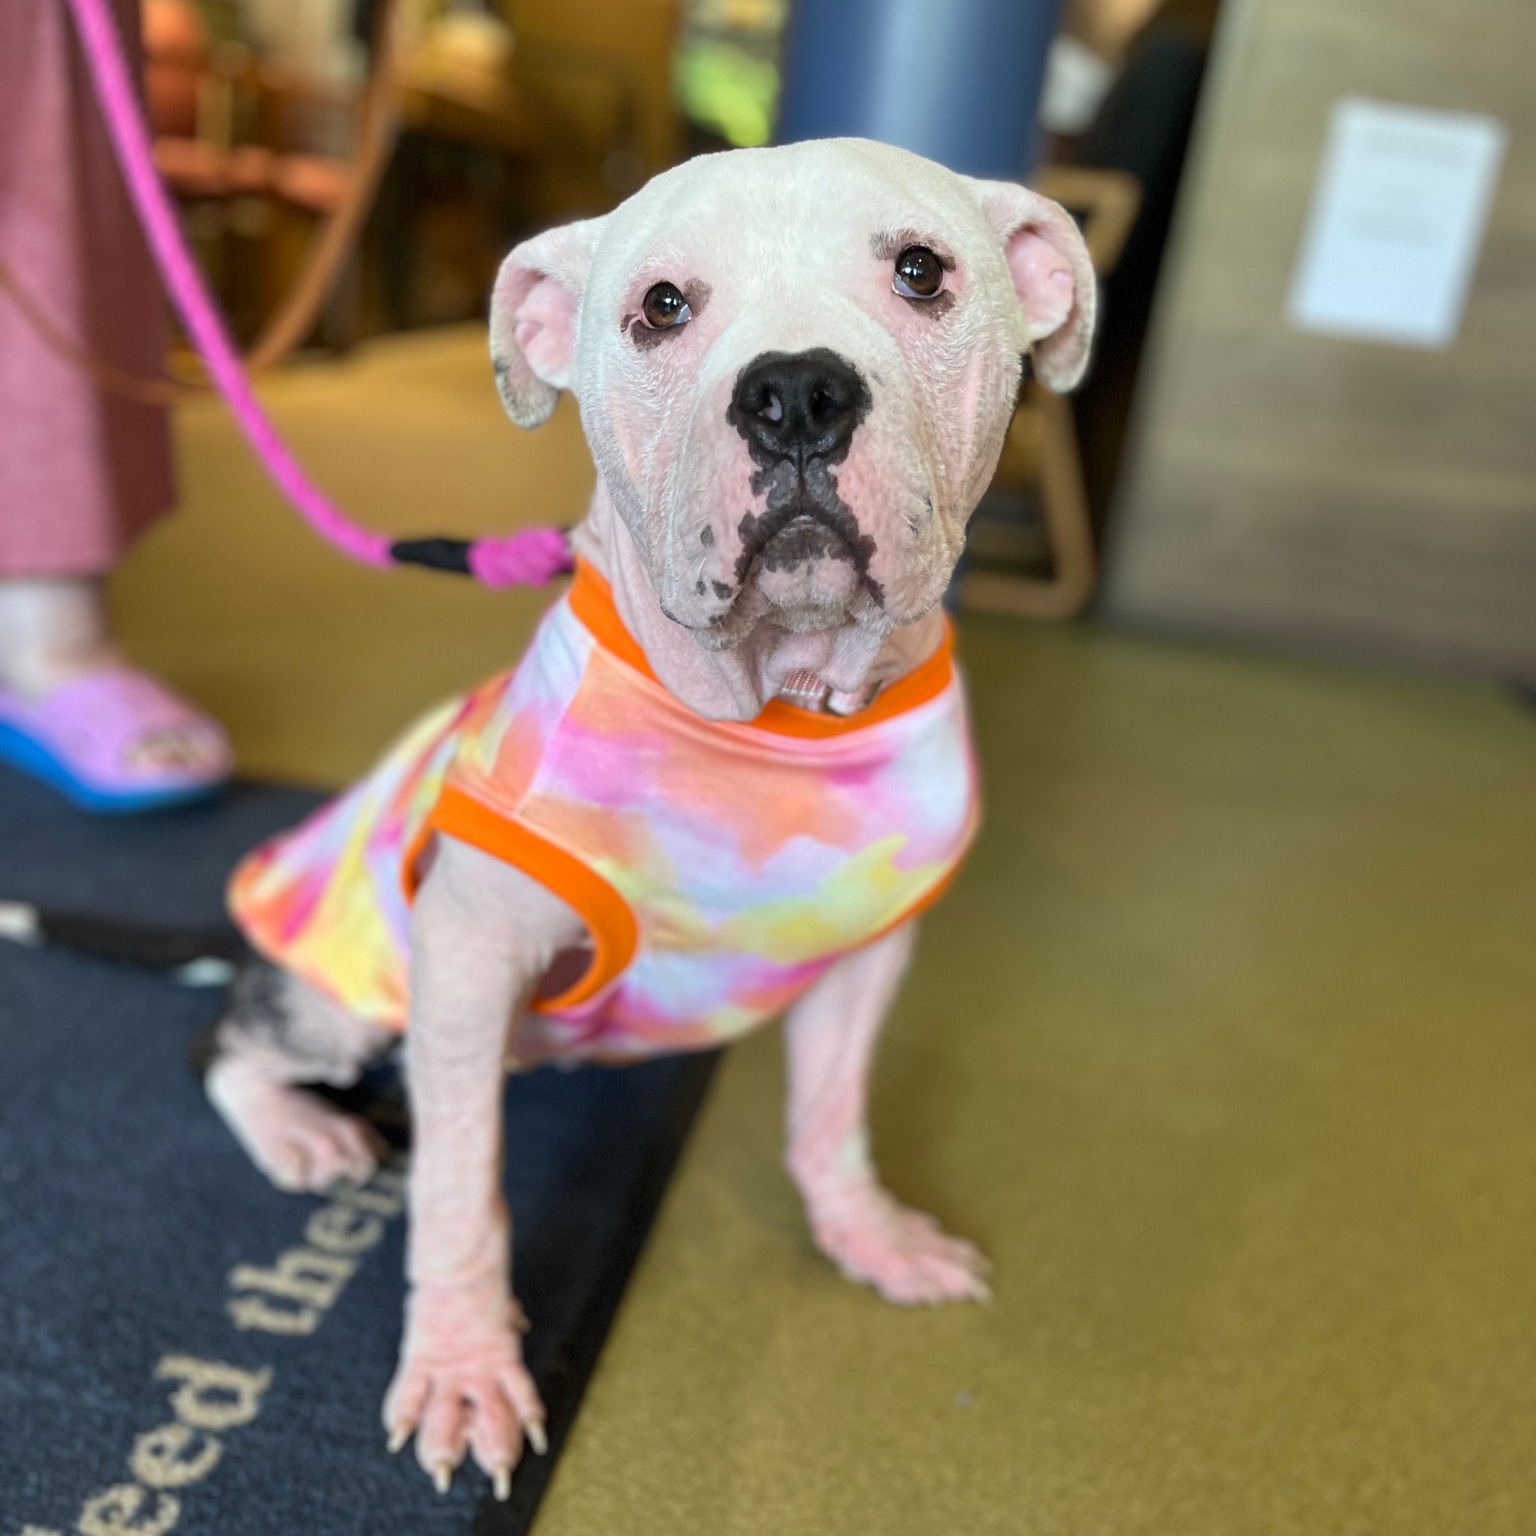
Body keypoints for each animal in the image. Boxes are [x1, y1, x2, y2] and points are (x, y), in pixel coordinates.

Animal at [201, 138, 1093, 1492]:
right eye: (663, 306)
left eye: (922, 271)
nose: (796, 394)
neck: (776, 714)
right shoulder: (466, 957)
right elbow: (460, 1198)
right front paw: (464, 1369)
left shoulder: (868, 957)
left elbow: (830, 1120)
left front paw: (866, 1234)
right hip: (345, 990)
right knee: (233, 1052)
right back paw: (299, 1131)